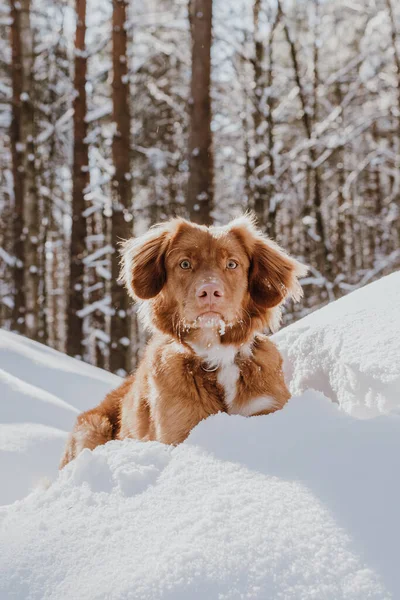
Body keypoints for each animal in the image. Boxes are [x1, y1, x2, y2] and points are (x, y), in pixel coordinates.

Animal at [59, 216, 306, 468]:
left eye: (232, 264)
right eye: (185, 264)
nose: (210, 291)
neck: (216, 354)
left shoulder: (267, 405)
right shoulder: (181, 428)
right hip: (93, 427)